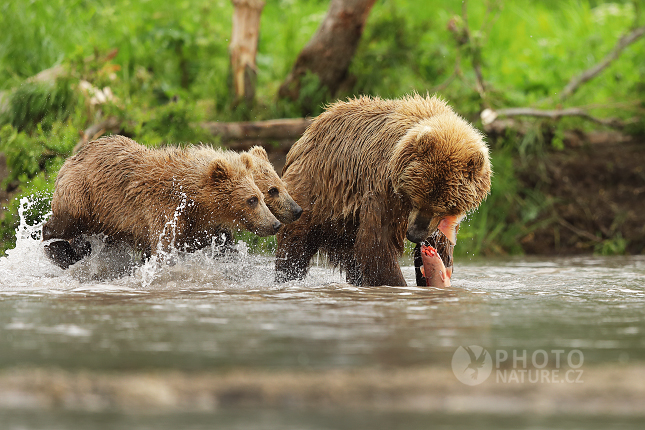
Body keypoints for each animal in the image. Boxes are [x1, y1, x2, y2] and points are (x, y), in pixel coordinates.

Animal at [274, 95, 490, 288]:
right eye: (417, 199)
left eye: (444, 207)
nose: (414, 235)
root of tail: (305, 135)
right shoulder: (383, 189)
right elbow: (378, 241)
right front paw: (397, 283)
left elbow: (440, 243)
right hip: (315, 192)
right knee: (295, 243)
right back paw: (287, 276)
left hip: (344, 225)